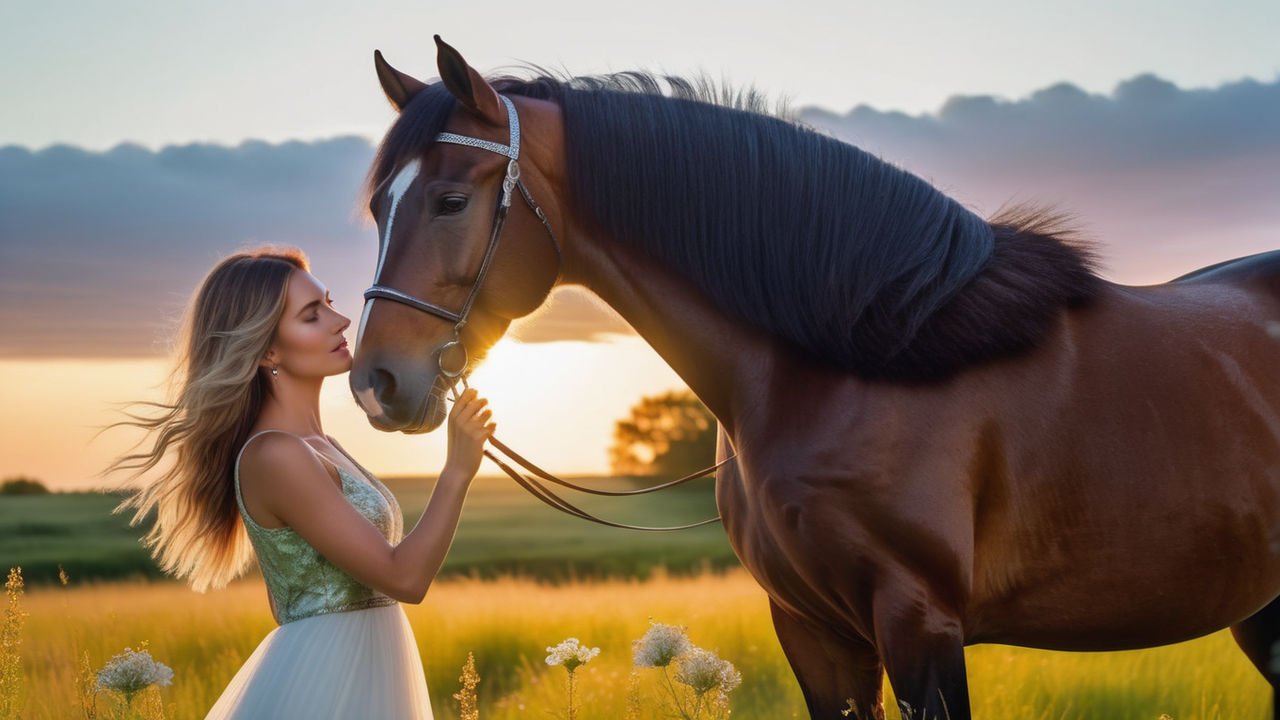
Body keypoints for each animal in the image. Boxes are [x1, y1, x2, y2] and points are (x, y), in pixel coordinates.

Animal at [345, 37, 1280, 717]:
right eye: (378, 205)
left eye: (451, 201)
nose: (375, 384)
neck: (863, 360)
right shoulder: (813, 631)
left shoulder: (919, 624)